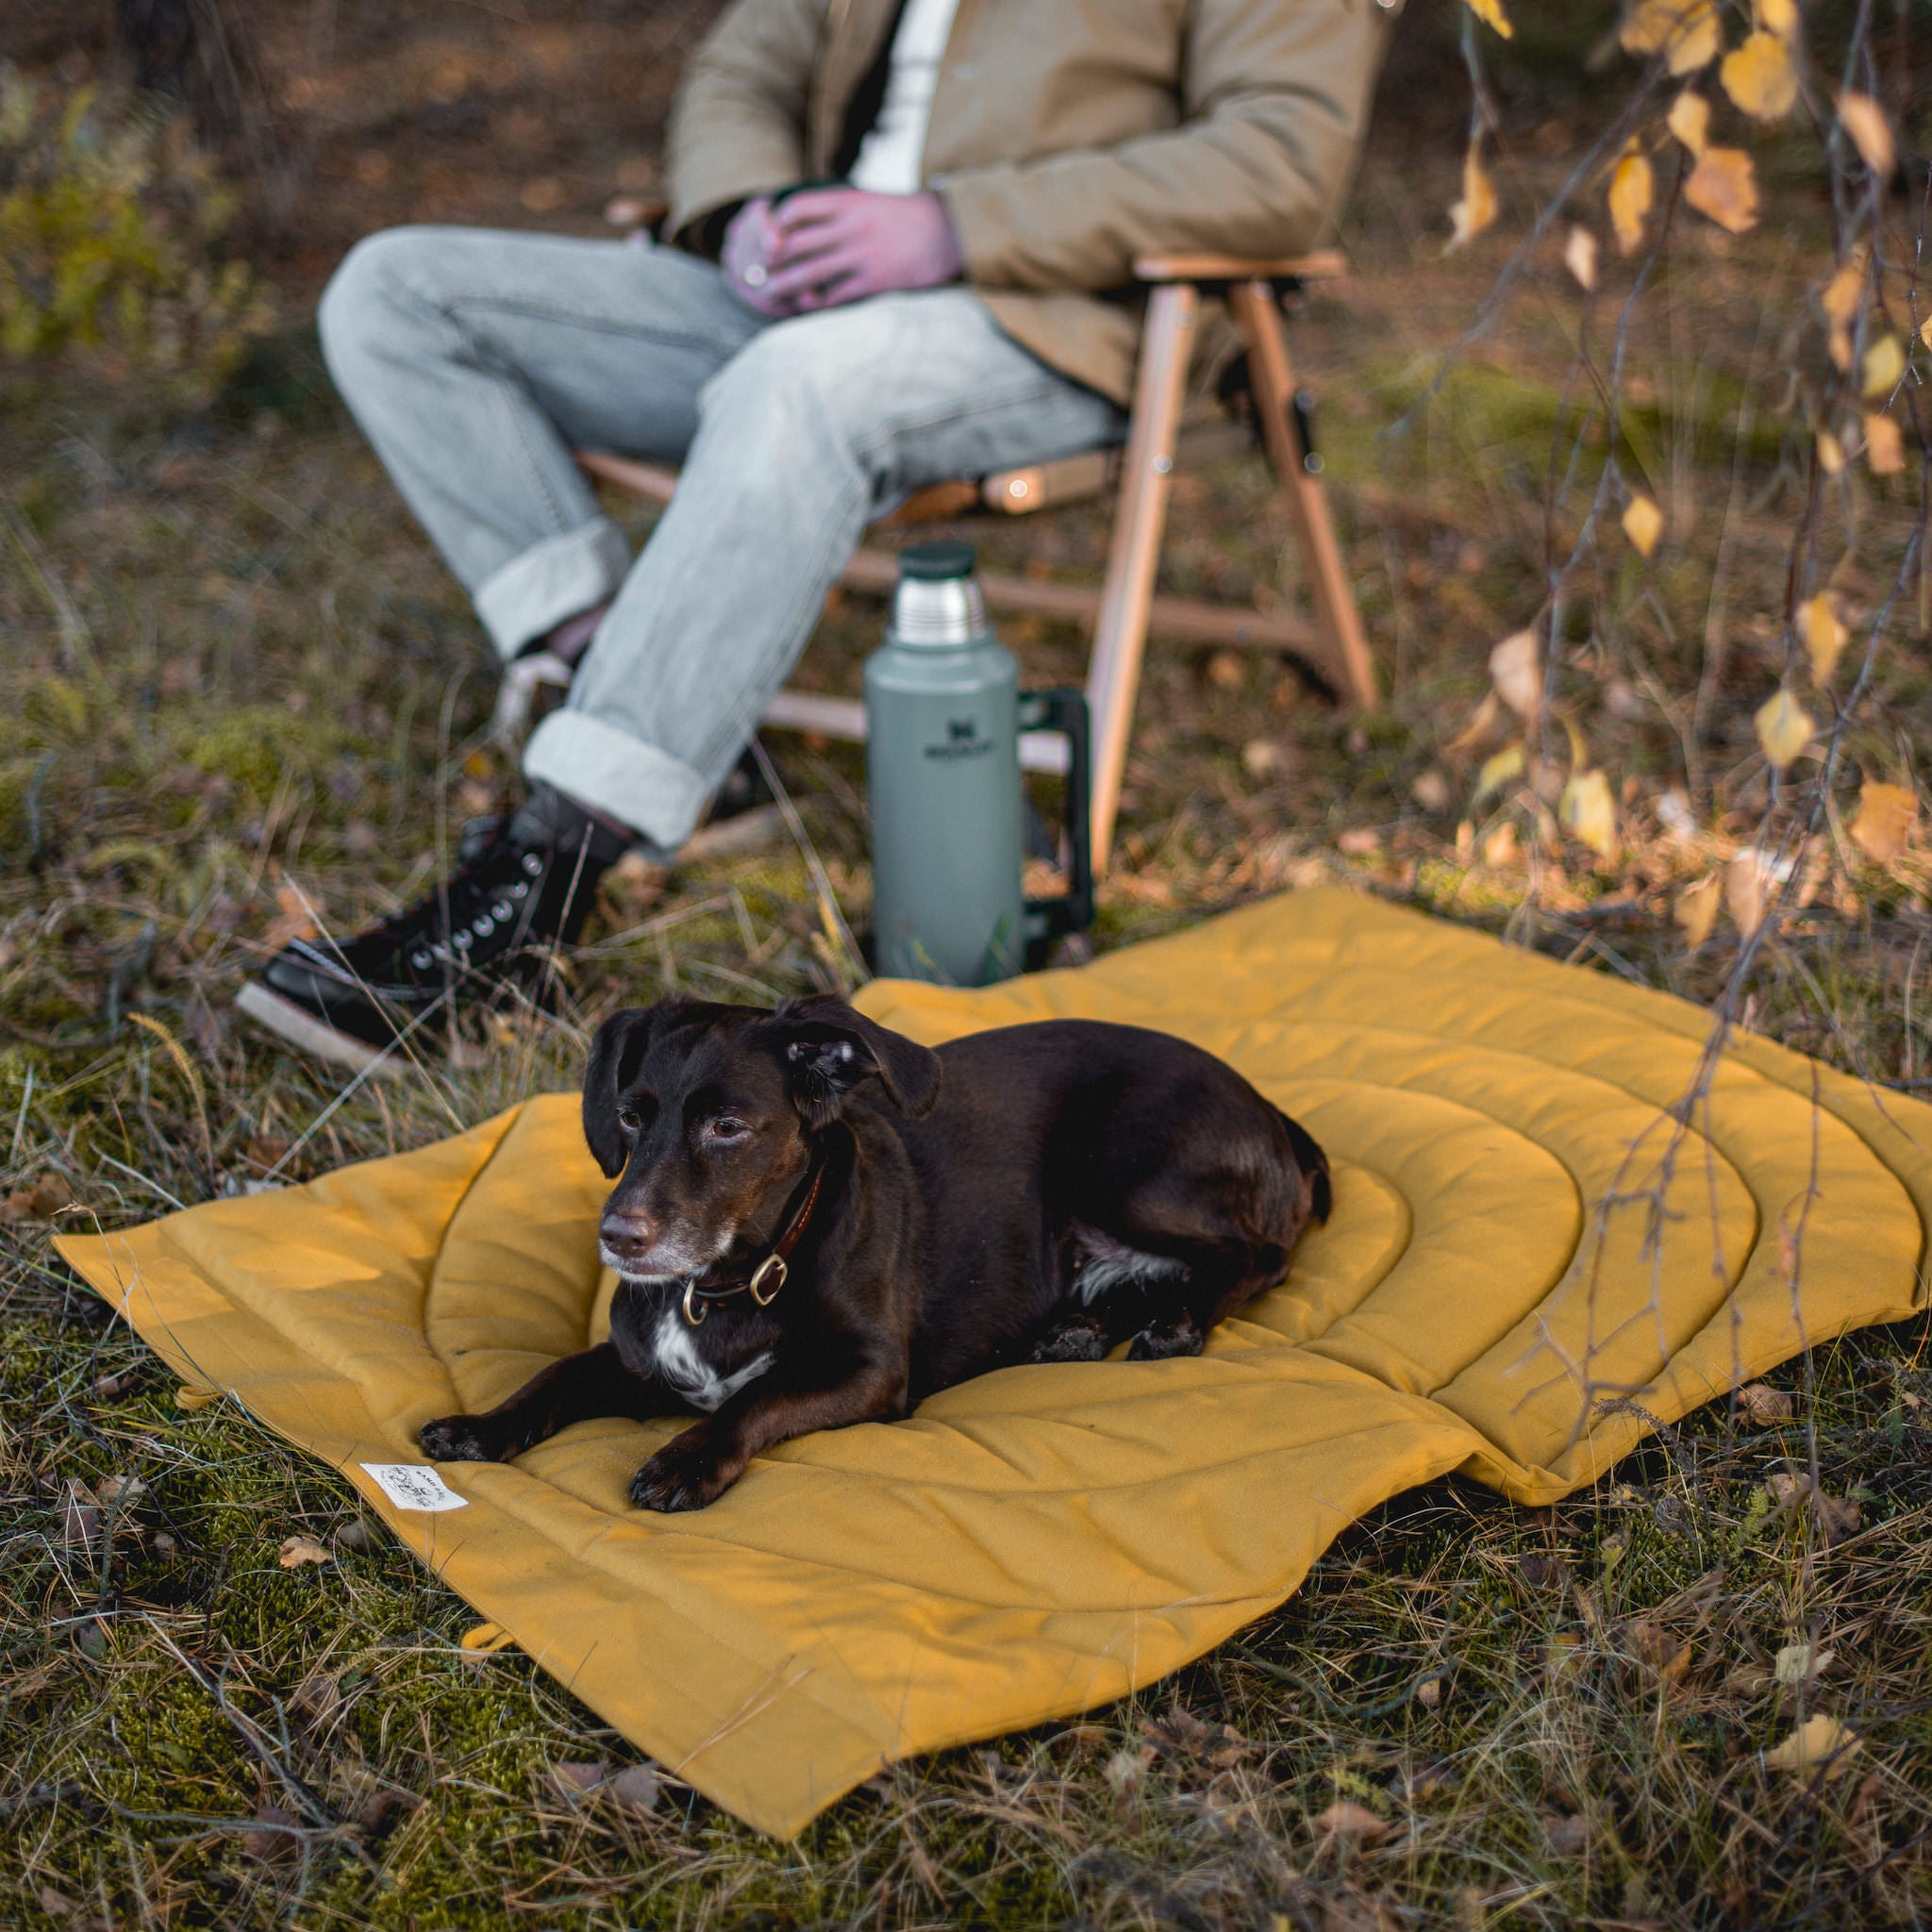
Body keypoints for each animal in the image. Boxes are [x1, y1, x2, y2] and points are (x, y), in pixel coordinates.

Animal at [421, 996, 1329, 1507]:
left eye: (727, 1127)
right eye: (632, 1117)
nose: (619, 1238)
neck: (730, 1281)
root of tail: (1270, 1110)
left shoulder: (867, 1372)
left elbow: (757, 1399)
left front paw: (688, 1461)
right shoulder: (637, 1364)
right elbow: (554, 1375)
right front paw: (480, 1427)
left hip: (1120, 1163)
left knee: (1260, 1253)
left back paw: (1176, 1325)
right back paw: (1072, 1333)